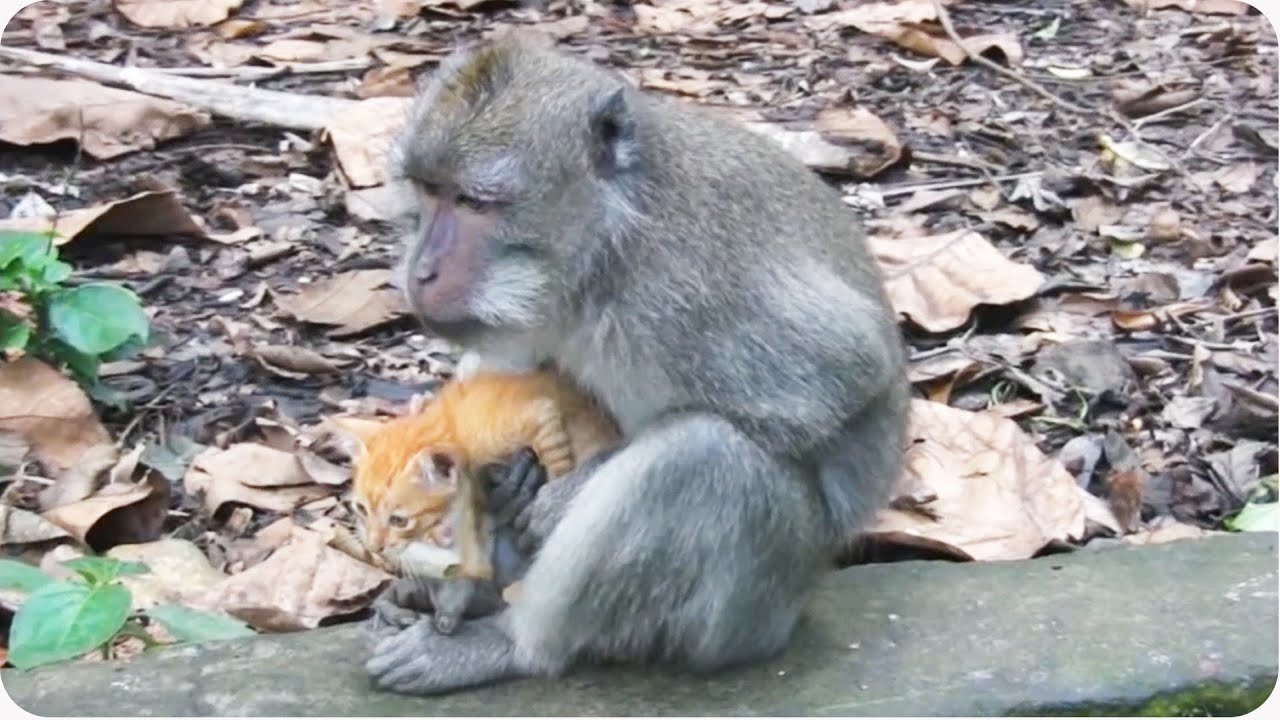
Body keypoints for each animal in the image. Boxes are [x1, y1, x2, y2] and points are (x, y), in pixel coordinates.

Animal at [366, 31, 909, 696]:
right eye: (428, 191)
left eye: (474, 202)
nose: (421, 270)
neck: (606, 252)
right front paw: (509, 482)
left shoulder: (687, 288)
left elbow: (846, 375)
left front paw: (562, 496)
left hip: (751, 614)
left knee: (703, 457)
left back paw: (512, 645)